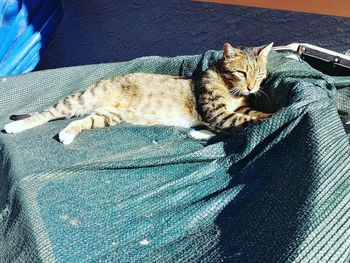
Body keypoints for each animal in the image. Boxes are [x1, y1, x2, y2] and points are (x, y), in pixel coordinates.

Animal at [4, 42, 274, 144]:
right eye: (241, 72)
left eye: (260, 74)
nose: (252, 87)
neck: (232, 91)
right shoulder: (217, 112)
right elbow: (243, 120)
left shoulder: (238, 108)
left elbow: (250, 114)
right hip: (81, 99)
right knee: (48, 113)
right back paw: (15, 126)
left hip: (107, 115)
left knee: (81, 121)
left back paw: (67, 134)